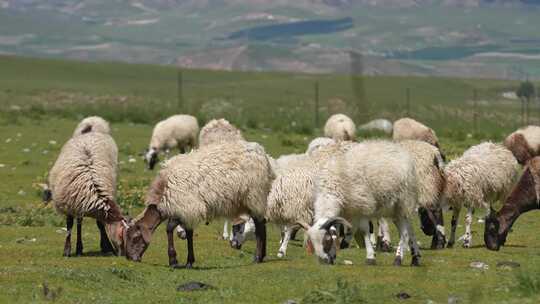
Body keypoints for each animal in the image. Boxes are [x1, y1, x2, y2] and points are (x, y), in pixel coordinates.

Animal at [123, 141, 274, 268]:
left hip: (255, 196)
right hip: (251, 200)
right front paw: (189, 261)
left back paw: (257, 257)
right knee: (262, 224)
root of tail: (262, 153)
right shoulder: (186, 211)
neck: (163, 190)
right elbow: (189, 234)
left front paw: (174, 260)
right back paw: (262, 256)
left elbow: (169, 229)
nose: (131, 258)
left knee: (260, 226)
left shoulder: (185, 207)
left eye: (135, 238)